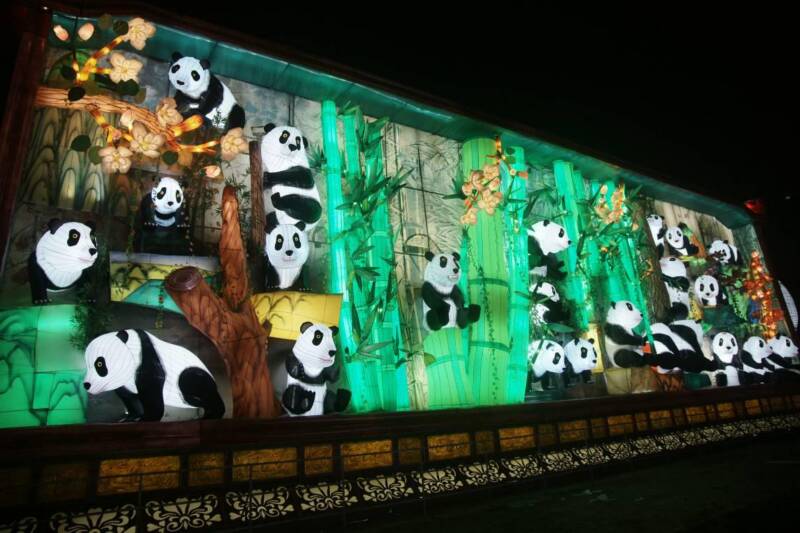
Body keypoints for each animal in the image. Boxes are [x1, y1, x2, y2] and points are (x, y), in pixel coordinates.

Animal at [82, 329, 225, 422]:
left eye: (99, 364)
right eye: (87, 364)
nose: (87, 385)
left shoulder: (147, 358)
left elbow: (151, 388)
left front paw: (148, 418)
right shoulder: (124, 381)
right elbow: (128, 396)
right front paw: (131, 417)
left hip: (195, 376)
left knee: (190, 384)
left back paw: (212, 414)